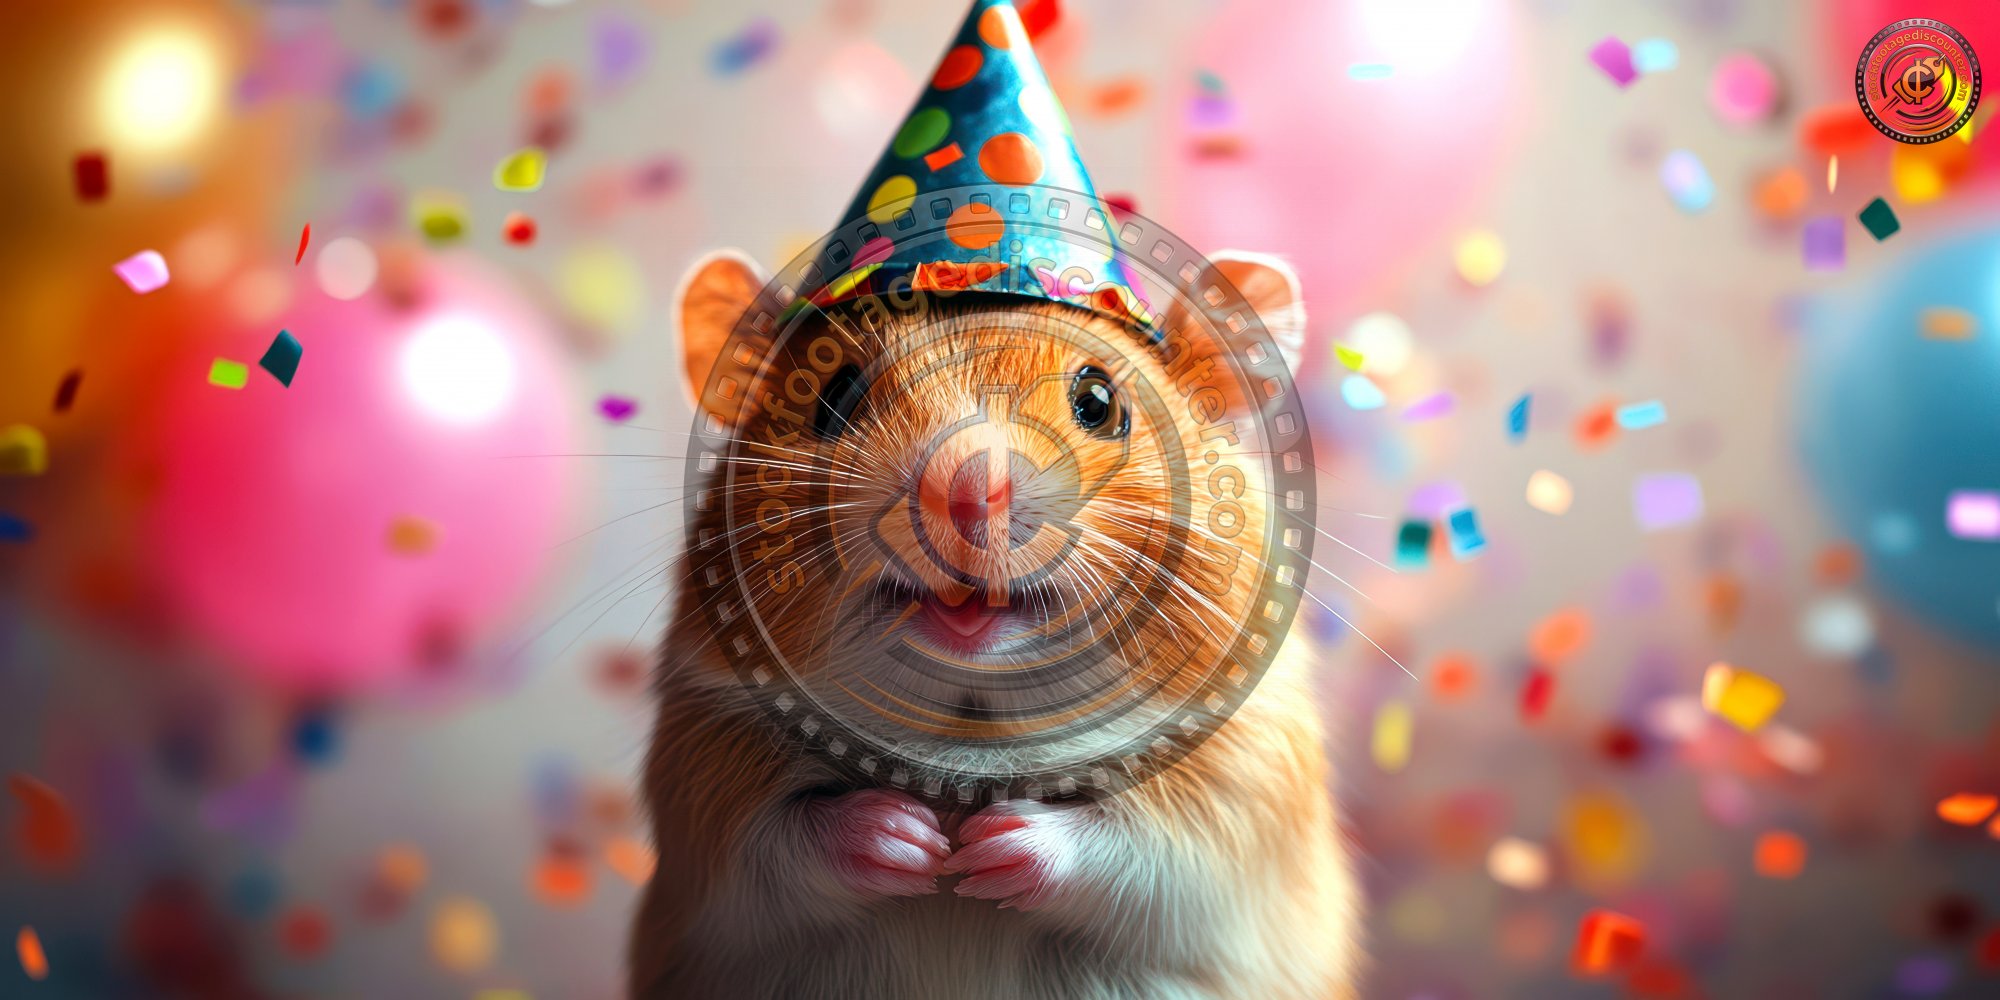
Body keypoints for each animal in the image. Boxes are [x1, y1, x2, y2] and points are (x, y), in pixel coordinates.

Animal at [628, 247, 1360, 1000]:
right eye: (835, 393)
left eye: (1100, 403)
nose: (966, 492)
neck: (972, 728)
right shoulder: (704, 792)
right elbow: (779, 844)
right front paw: (920, 843)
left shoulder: (1233, 799)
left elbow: (1138, 850)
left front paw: (983, 849)